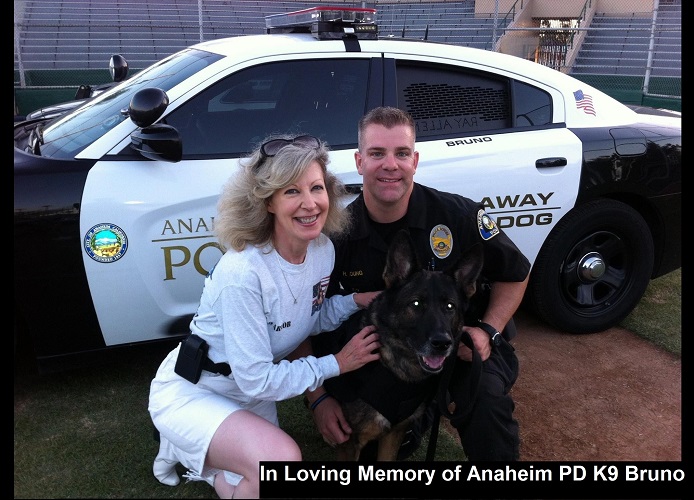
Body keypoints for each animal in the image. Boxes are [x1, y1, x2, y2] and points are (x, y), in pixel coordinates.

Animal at [322, 230, 482, 460]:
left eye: (450, 307)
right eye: (416, 304)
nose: (442, 343)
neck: (396, 365)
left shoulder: (394, 434)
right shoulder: (350, 443)